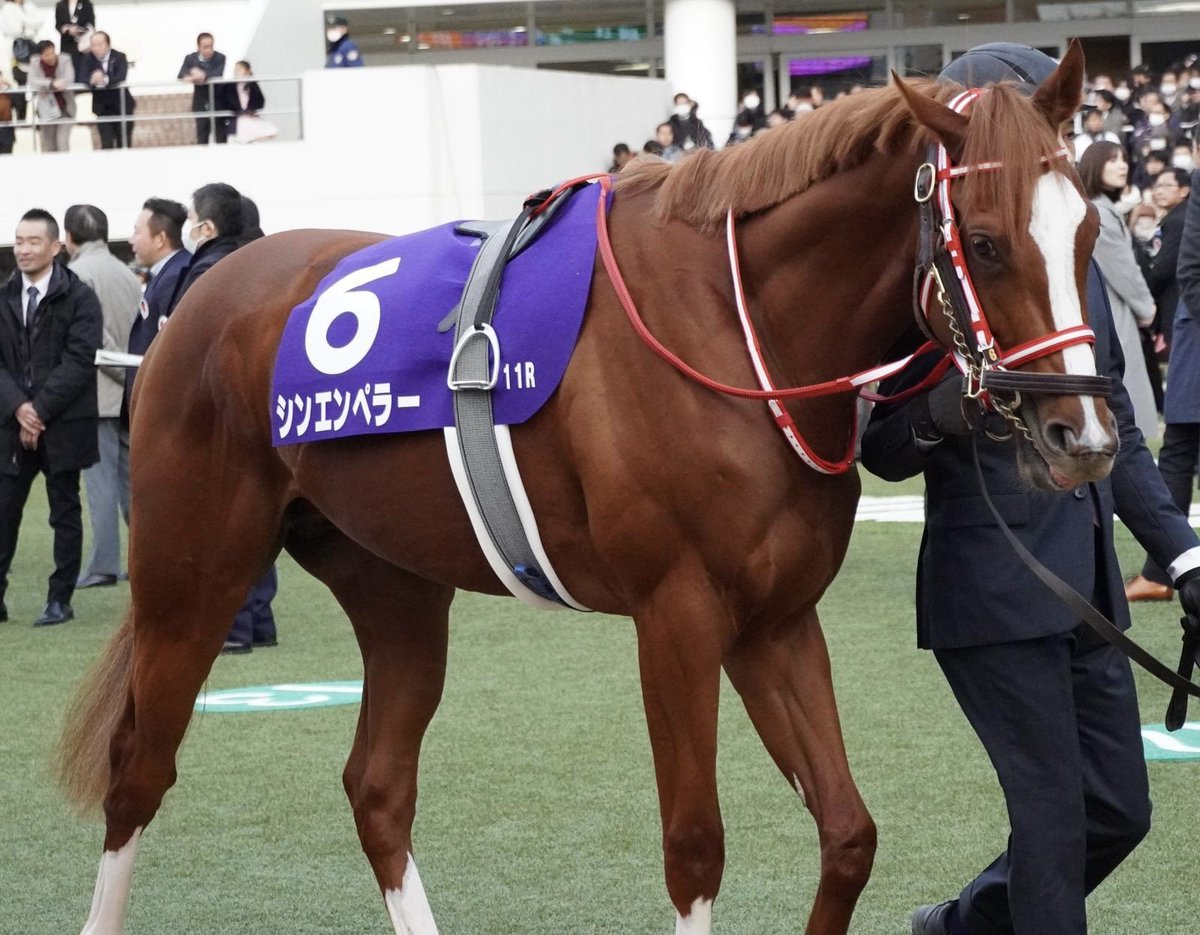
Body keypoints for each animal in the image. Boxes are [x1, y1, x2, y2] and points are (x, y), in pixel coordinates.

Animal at [59, 43, 1109, 935]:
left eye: (1090, 229)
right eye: (987, 241)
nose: (1085, 434)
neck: (738, 326)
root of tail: (196, 299)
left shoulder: (775, 618)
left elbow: (849, 832)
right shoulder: (678, 613)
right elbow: (695, 847)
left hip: (394, 588)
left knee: (377, 786)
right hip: (192, 574)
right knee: (138, 771)